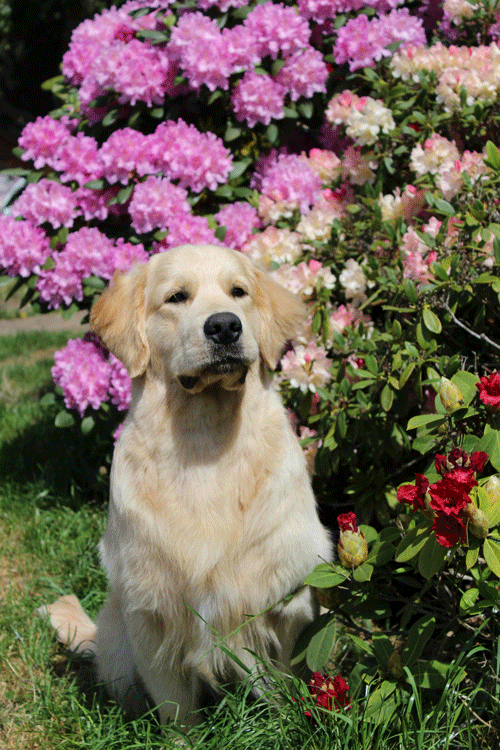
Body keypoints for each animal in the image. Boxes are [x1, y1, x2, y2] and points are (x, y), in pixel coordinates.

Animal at [40, 244, 332, 724]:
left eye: (238, 292)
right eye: (176, 297)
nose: (225, 325)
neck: (205, 441)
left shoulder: (287, 599)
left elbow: (286, 682)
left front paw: (292, 722)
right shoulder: (151, 614)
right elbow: (177, 711)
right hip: (118, 645)